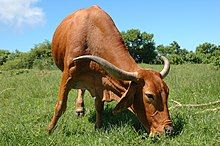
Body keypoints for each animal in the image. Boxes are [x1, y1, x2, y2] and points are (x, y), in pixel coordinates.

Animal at [46, 5, 174, 136]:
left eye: (167, 92)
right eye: (149, 95)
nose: (169, 130)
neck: (91, 36)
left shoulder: (99, 81)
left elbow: (99, 106)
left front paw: (98, 127)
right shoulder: (68, 74)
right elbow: (60, 106)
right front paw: (49, 130)